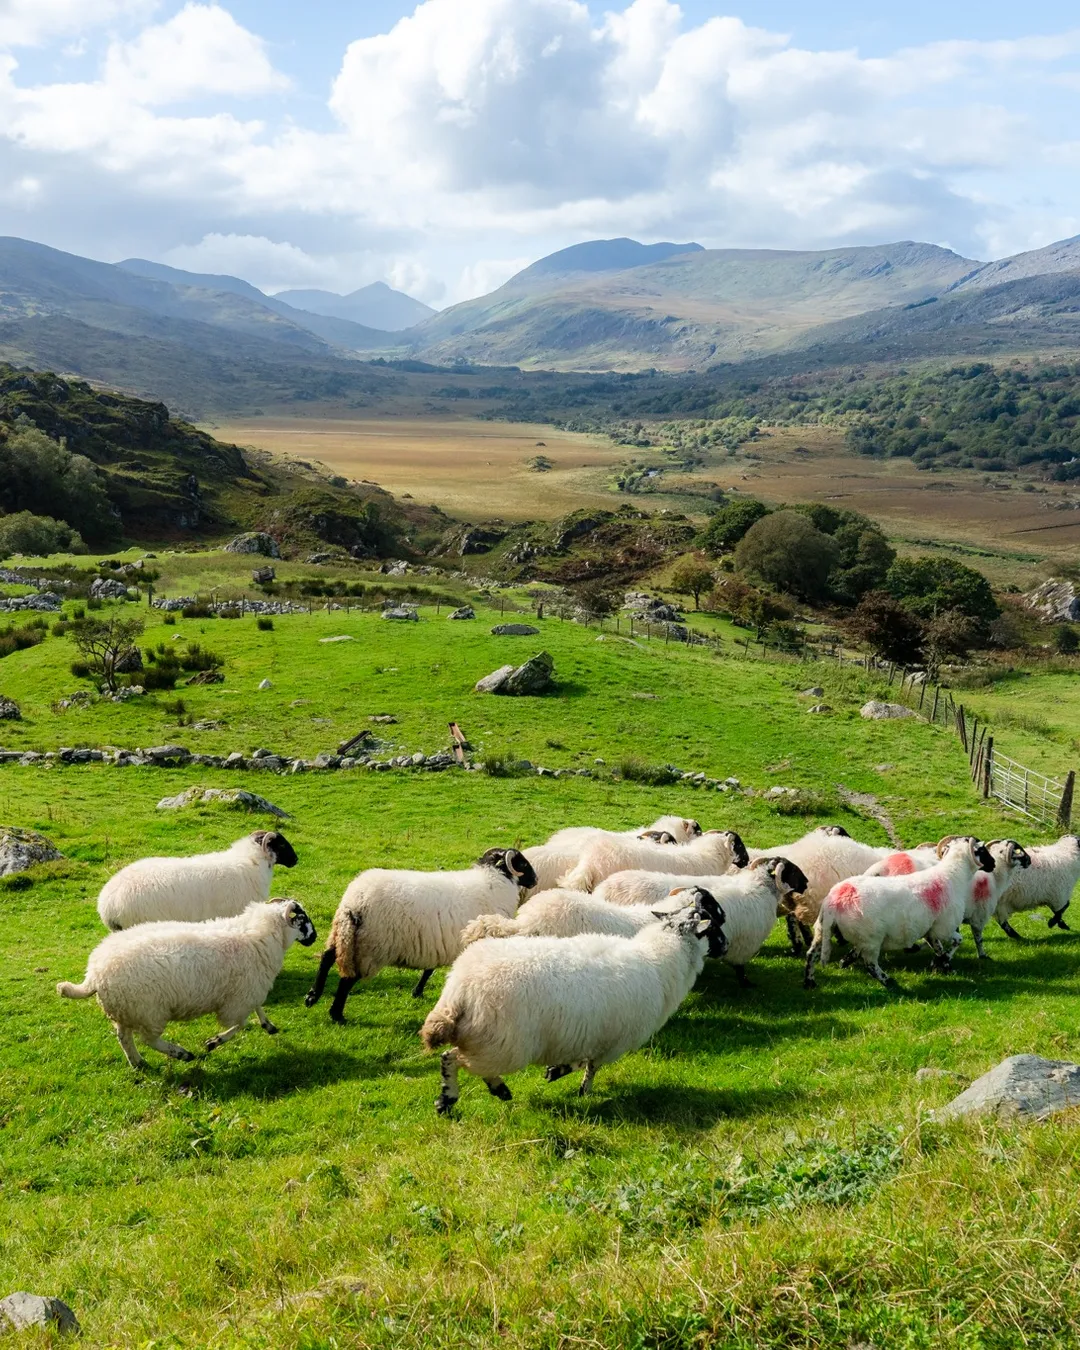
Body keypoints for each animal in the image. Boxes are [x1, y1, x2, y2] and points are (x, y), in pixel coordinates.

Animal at [57, 899, 317, 1068]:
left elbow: (257, 1008)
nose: (315, 937)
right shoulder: (238, 999)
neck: (261, 934)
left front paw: (268, 1025)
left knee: (124, 1038)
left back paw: (138, 1062)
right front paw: (215, 1041)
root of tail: (95, 974)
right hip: (149, 1011)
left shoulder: (247, 991)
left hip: (127, 1010)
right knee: (148, 1040)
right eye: (303, 919)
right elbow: (239, 1025)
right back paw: (181, 1054)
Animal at [304, 848, 538, 1023]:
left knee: (326, 958)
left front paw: (417, 991)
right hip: (370, 946)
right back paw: (336, 1014)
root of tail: (354, 902)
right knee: (347, 979)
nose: (536, 879)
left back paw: (312, 996)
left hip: (344, 934)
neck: (495, 881)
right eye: (522, 864)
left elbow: (429, 970)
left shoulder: (440, 942)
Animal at [420, 886, 728, 1114]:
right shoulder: (611, 1041)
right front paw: (572, 1082)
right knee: (453, 1058)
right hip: (503, 1044)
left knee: (462, 1060)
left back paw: (490, 1091)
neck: (658, 958)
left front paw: (556, 1071)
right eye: (712, 923)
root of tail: (461, 987)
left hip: (492, 1041)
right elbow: (588, 1065)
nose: (725, 946)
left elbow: (583, 1061)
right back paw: (453, 1097)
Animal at [594, 856, 808, 985]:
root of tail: (603, 888)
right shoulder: (744, 945)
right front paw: (746, 983)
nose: (806, 883)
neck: (761, 889)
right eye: (791, 870)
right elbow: (740, 967)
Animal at [803, 836, 995, 990]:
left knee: (811, 954)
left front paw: (942, 964)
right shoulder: (944, 927)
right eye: (982, 850)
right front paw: (945, 963)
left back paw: (809, 982)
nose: (993, 864)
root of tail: (837, 899)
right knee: (870, 964)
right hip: (871, 938)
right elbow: (956, 942)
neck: (953, 876)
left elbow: (938, 949)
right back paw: (889, 982)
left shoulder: (930, 930)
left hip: (823, 929)